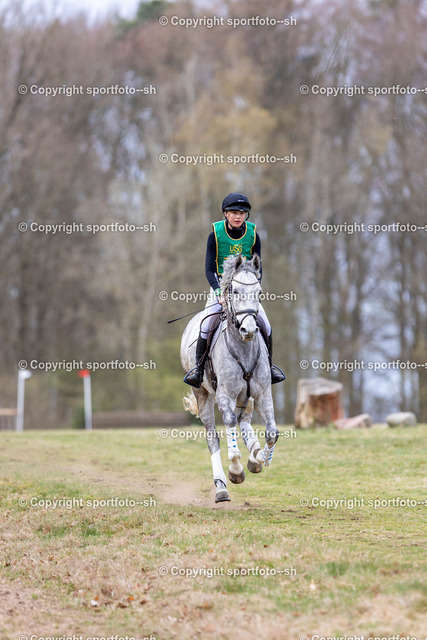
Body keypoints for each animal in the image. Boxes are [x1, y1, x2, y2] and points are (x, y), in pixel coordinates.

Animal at [180, 253, 279, 503]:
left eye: (259, 291)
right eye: (234, 290)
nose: (249, 330)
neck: (243, 348)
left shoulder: (263, 394)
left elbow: (272, 432)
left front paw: (262, 458)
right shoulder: (224, 395)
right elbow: (230, 428)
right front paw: (236, 471)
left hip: (247, 397)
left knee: (244, 421)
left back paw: (254, 455)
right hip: (203, 394)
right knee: (214, 436)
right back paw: (221, 486)